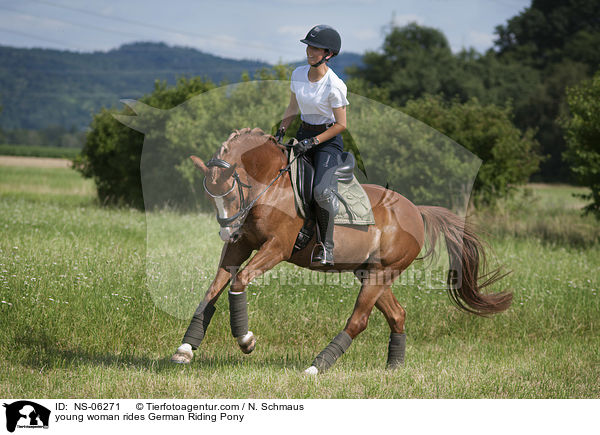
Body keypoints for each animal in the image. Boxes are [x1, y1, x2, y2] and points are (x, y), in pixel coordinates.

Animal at [171, 127, 512, 374]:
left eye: (231, 194)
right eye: (210, 196)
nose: (226, 231)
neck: (271, 186)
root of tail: (416, 210)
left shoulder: (276, 248)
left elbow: (239, 282)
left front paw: (246, 340)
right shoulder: (240, 246)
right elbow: (212, 291)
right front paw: (185, 349)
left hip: (381, 273)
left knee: (359, 321)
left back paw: (318, 366)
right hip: (371, 273)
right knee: (397, 314)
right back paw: (394, 368)